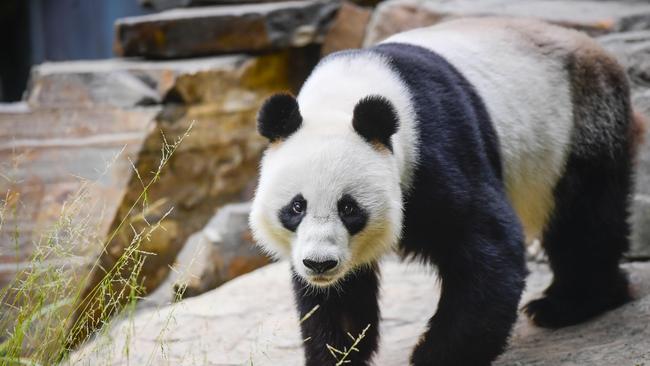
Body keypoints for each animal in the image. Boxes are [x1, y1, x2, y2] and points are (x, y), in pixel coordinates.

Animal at [248, 17, 644, 366]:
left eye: (349, 208)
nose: (320, 263)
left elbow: (487, 246)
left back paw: (569, 304)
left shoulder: (437, 149)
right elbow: (337, 300)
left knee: (583, 218)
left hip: (581, 124)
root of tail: (597, 49)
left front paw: (434, 356)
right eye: (296, 207)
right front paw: (337, 353)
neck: (343, 99)